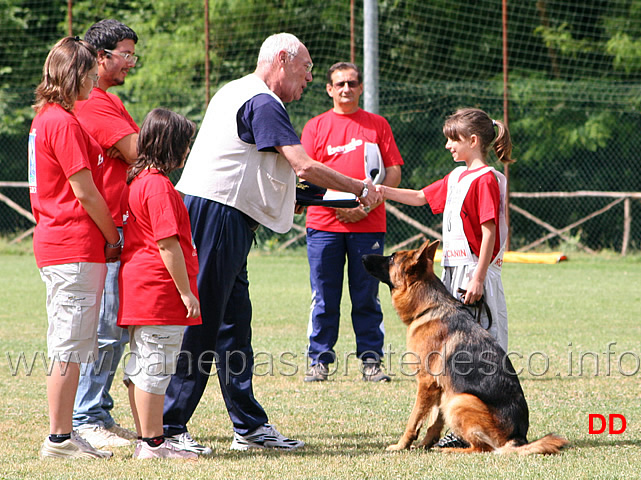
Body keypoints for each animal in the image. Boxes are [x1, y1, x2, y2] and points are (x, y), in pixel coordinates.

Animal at [362, 240, 568, 454]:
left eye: (391, 258)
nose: (363, 257)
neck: (428, 307)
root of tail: (518, 438)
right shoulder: (440, 388)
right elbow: (434, 422)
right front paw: (425, 444)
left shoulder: (426, 383)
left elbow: (414, 420)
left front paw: (401, 445)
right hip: (452, 399)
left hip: (460, 401)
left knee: (482, 448)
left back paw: (450, 450)